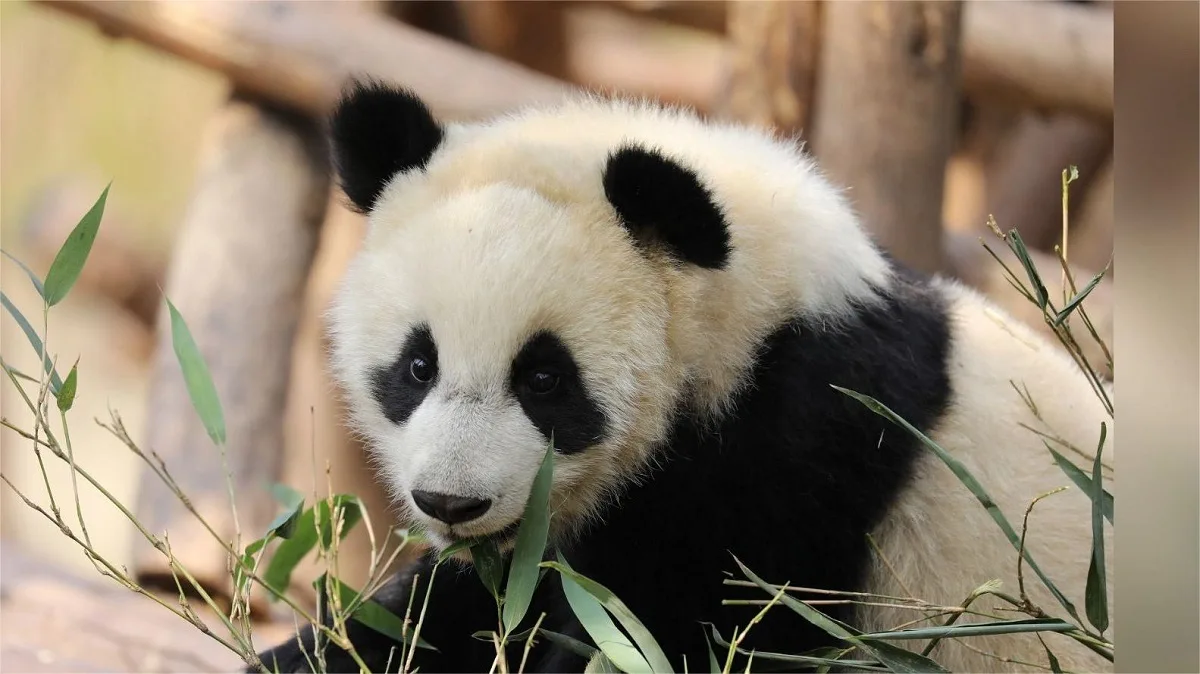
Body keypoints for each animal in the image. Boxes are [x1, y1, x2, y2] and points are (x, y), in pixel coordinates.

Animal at [256, 80, 1115, 674]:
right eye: (417, 363)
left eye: (544, 380)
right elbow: (460, 606)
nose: (450, 502)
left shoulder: (799, 444)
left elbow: (699, 628)